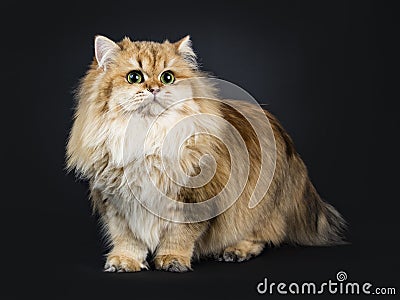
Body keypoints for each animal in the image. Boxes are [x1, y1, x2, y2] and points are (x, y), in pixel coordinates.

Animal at [67, 34, 346, 272]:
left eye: (167, 78)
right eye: (134, 77)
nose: (154, 89)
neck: (148, 135)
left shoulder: (194, 196)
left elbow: (179, 236)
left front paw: (172, 260)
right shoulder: (117, 202)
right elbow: (126, 237)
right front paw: (125, 261)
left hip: (257, 207)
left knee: (264, 235)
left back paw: (236, 250)